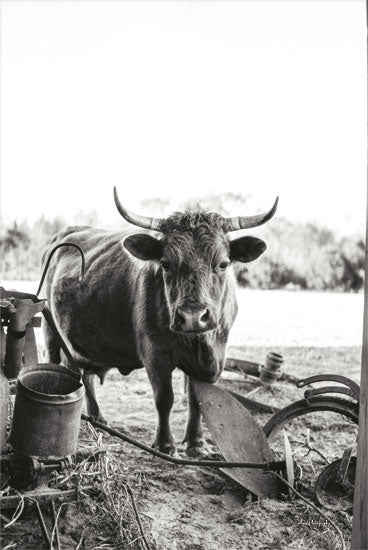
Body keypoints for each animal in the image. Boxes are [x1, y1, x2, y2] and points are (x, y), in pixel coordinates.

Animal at [42, 190, 278, 458]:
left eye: (223, 264)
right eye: (166, 263)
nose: (193, 315)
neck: (199, 344)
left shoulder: (216, 355)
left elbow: (197, 401)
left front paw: (197, 444)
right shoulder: (155, 354)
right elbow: (164, 399)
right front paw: (165, 444)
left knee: (84, 373)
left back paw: (98, 420)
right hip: (51, 331)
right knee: (61, 365)